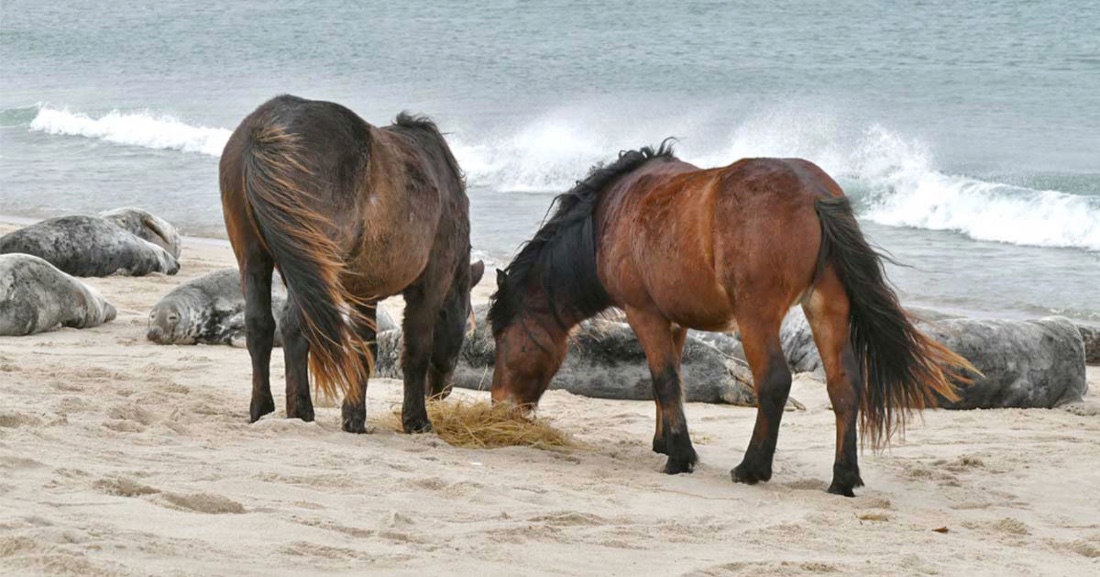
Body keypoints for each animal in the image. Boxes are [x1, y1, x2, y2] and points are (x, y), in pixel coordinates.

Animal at [220, 95, 484, 434]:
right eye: (465, 323)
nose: (441, 391)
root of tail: (266, 128)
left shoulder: (364, 293)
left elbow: (363, 350)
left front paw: (354, 416)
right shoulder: (431, 286)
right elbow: (416, 350)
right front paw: (415, 420)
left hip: (254, 258)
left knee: (259, 326)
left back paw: (262, 408)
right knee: (295, 326)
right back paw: (300, 410)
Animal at [487, 142, 975, 496]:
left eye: (501, 337)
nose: (499, 405)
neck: (609, 215)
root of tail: (815, 194)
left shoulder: (645, 313)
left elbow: (665, 379)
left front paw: (679, 457)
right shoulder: (674, 319)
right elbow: (668, 382)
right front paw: (665, 441)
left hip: (756, 316)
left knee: (775, 381)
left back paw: (752, 467)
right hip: (827, 307)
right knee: (844, 385)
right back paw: (842, 478)